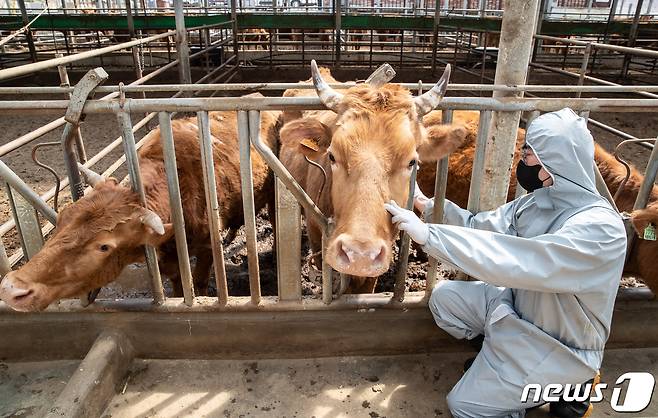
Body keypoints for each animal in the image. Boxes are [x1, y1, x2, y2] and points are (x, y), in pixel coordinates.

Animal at [0, 106, 280, 312]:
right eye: (62, 218)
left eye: (104, 246)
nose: (12, 288)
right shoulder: (165, 254)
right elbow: (179, 283)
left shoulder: (207, 246)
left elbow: (199, 281)